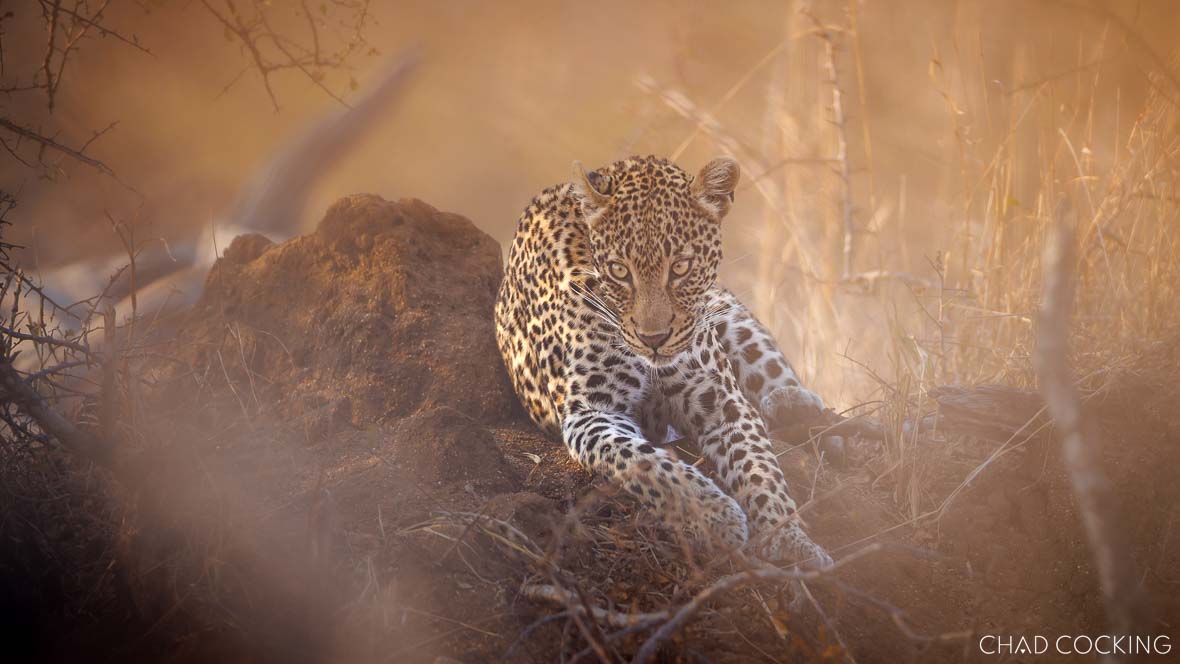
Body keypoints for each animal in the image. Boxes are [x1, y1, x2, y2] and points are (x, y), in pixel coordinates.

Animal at [494, 154, 832, 567]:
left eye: (681, 267)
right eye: (620, 271)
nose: (653, 339)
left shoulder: (722, 401)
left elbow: (760, 468)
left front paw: (792, 540)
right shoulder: (591, 412)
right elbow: (647, 462)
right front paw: (714, 516)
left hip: (727, 314)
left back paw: (794, 403)